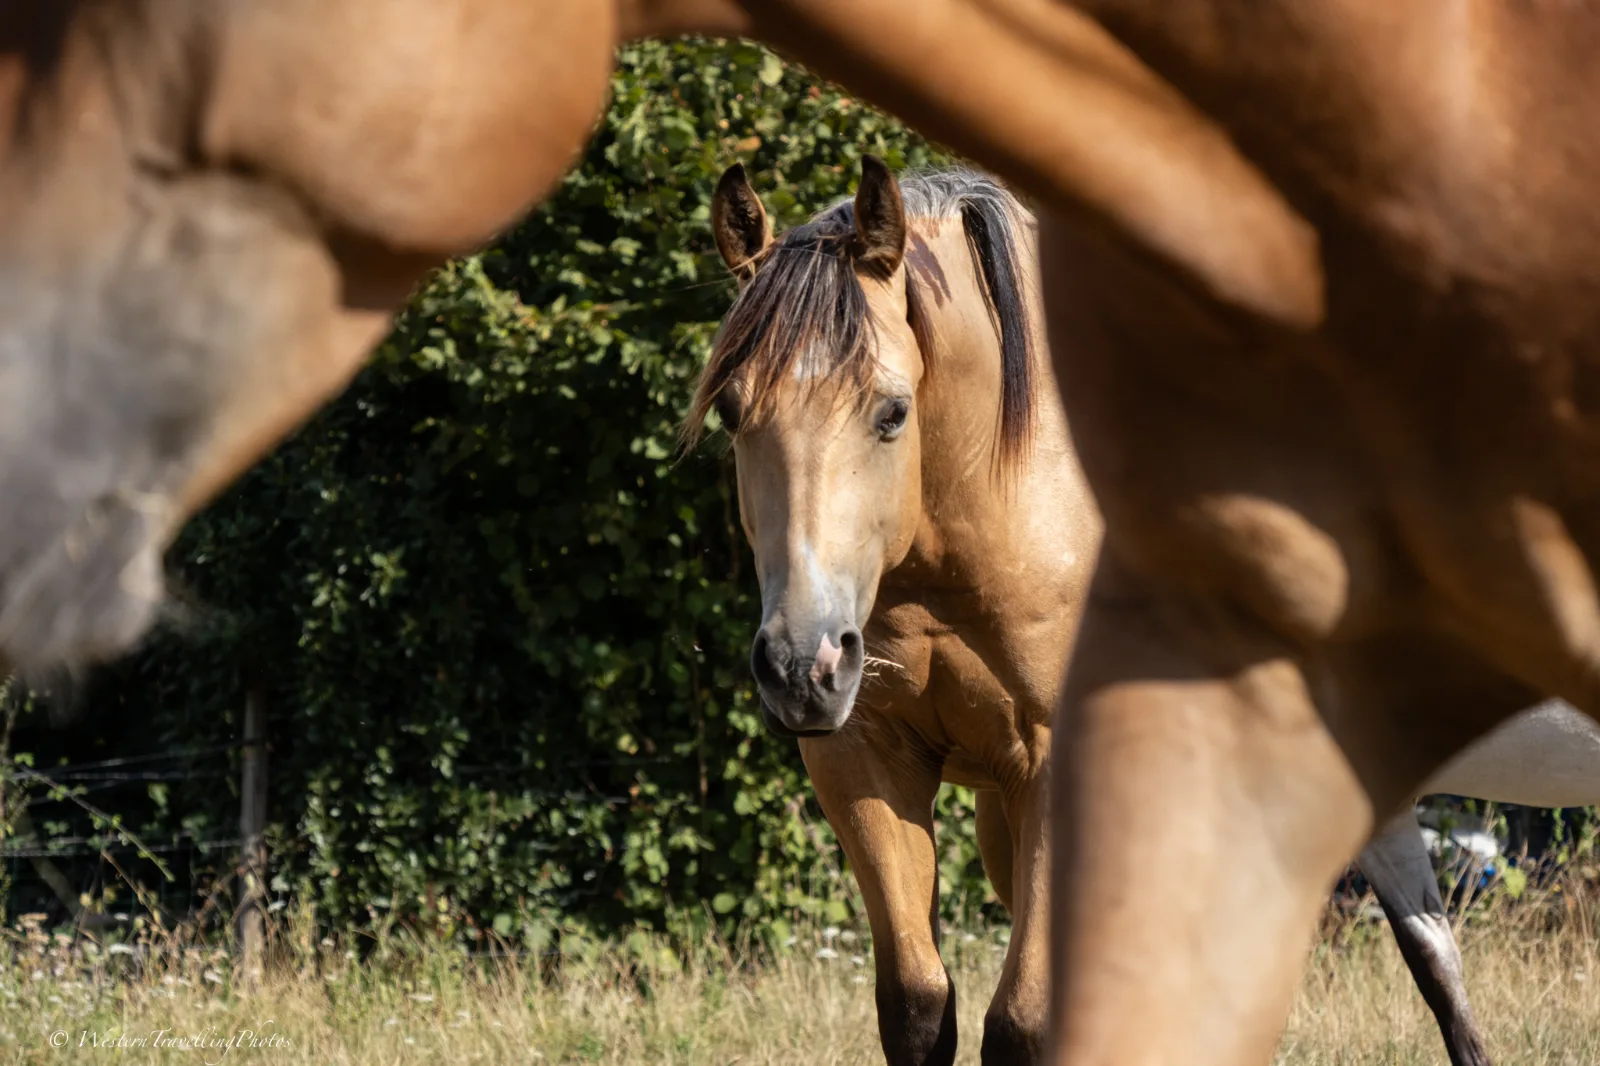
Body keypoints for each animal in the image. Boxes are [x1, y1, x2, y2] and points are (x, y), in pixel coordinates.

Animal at [690, 157, 1600, 1066]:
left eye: (891, 411)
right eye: (733, 410)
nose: (801, 666)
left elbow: (1027, 1023)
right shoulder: (867, 758)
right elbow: (918, 1008)